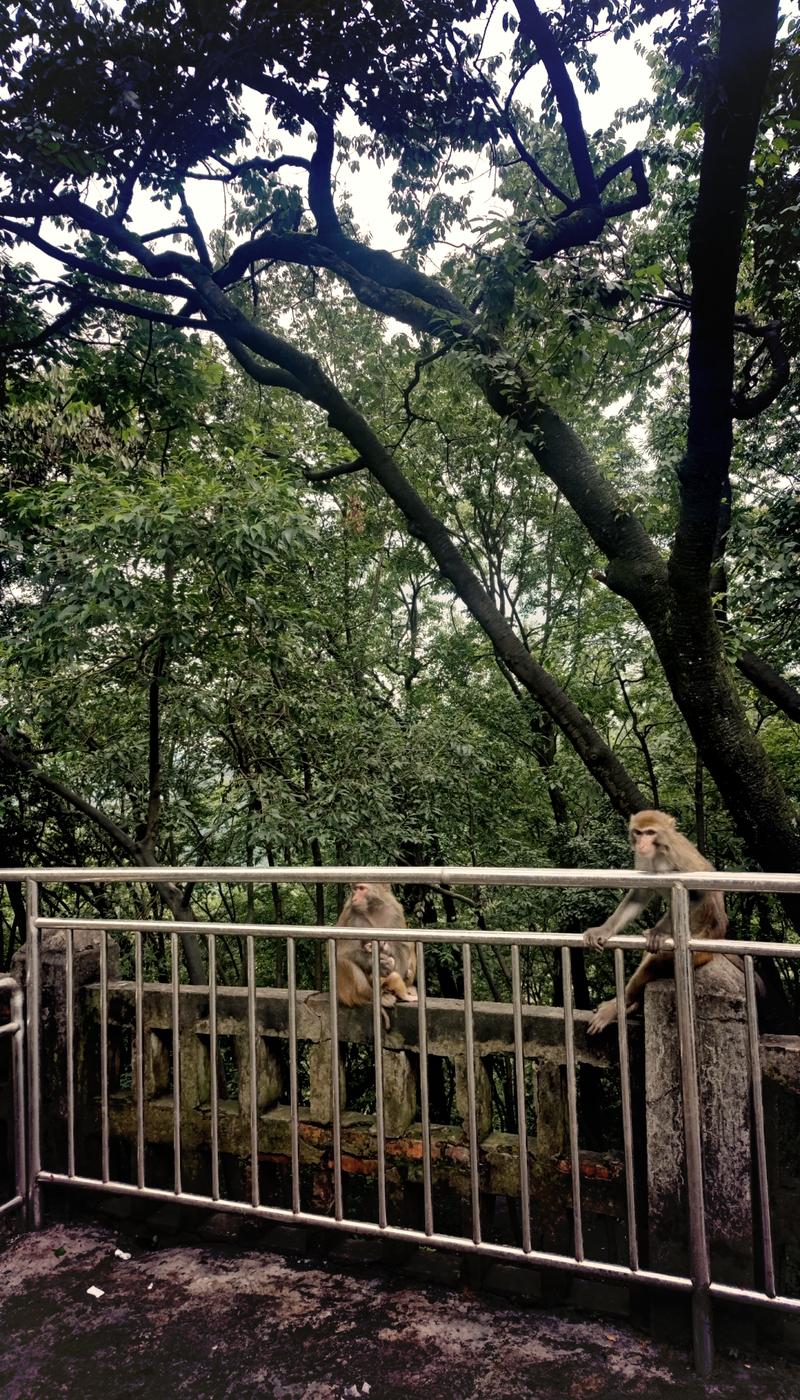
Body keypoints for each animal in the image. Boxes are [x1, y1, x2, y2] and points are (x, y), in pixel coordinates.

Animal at [334, 879, 420, 1013]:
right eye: (355, 889)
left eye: (361, 888)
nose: (354, 897)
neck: (372, 909)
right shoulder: (349, 912)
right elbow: (341, 951)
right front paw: (379, 963)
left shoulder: (395, 910)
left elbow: (403, 947)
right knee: (343, 961)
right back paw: (376, 995)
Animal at [585, 812, 728, 1041]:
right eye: (638, 832)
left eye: (651, 832)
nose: (642, 843)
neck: (657, 854)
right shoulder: (643, 860)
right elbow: (640, 894)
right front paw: (604, 930)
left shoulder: (679, 857)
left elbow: (698, 894)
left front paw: (658, 932)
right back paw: (631, 1007)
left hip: (702, 940)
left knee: (658, 960)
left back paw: (620, 1004)